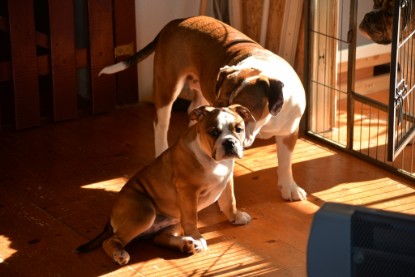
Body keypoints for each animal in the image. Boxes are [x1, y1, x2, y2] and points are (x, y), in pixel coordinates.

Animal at [76, 104, 255, 264]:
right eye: (213, 133)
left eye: (239, 129)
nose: (229, 142)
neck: (213, 160)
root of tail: (111, 216)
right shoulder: (188, 191)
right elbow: (192, 218)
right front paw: (197, 236)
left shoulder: (227, 180)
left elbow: (229, 201)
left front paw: (236, 217)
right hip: (144, 213)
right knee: (111, 241)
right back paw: (120, 254)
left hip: (173, 222)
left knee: (159, 238)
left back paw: (187, 245)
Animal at [99, 15, 308, 201]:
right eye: (220, 103)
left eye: (243, 108)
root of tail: (176, 22)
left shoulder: (289, 132)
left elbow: (286, 161)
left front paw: (289, 186)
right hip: (167, 86)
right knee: (161, 124)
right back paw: (162, 151)